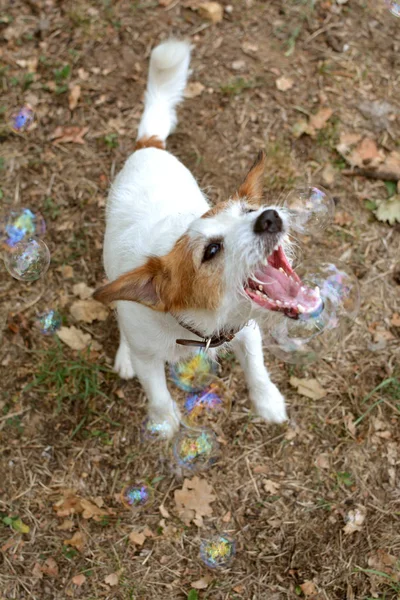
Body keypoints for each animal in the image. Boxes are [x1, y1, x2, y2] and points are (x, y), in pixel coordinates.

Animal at [94, 39, 322, 438]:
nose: (269, 218)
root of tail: (149, 145)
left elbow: (257, 369)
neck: (198, 326)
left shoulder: (245, 332)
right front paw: (164, 423)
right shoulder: (149, 355)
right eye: (212, 250)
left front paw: (267, 402)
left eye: (248, 210)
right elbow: (156, 390)